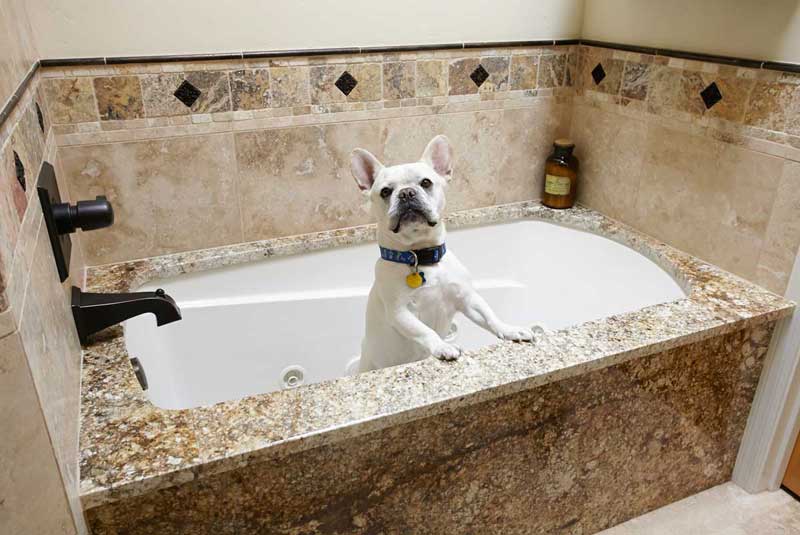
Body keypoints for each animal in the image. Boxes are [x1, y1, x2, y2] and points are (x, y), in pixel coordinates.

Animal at [352, 135, 536, 372]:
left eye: (426, 182)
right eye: (385, 192)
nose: (406, 193)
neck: (421, 255)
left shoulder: (467, 298)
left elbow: (489, 315)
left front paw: (509, 329)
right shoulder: (400, 313)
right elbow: (424, 330)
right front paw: (442, 346)